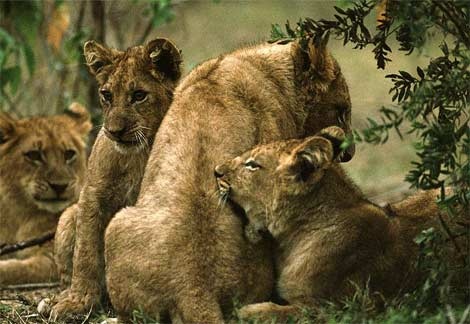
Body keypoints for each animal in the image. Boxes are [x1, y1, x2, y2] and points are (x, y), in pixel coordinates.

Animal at [0, 103, 91, 284]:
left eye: (69, 154)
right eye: (34, 155)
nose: (59, 186)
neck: (19, 217)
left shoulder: (52, 259)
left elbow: (18, 269)